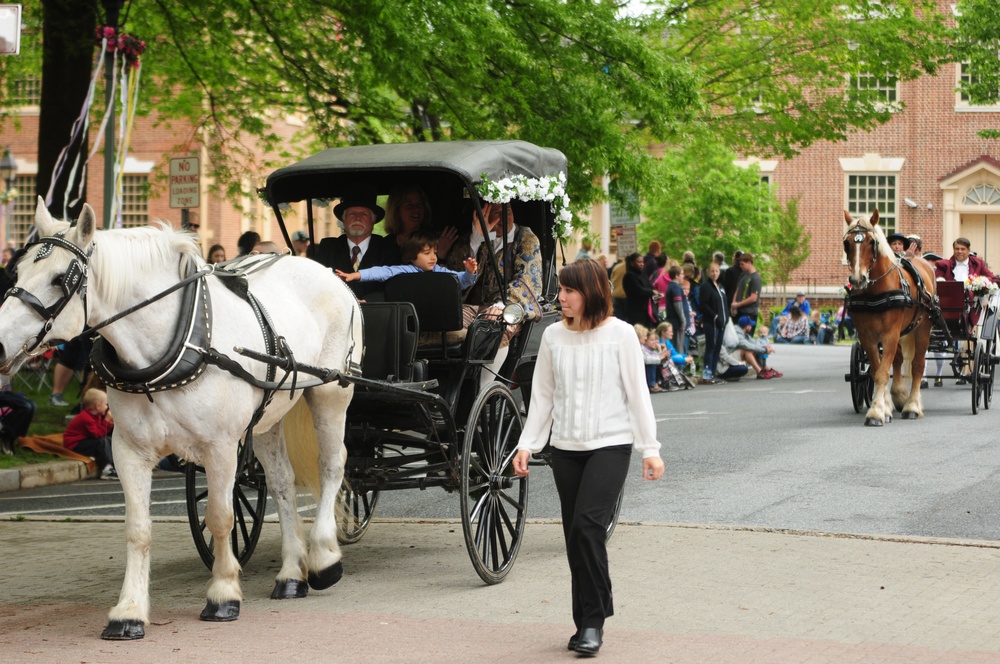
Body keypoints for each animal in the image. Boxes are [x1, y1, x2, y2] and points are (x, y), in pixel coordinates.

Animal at [0, 200, 364, 640]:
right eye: (17, 272)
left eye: (60, 279)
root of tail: (326, 272)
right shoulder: (129, 451)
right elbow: (137, 529)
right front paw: (129, 611)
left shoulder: (220, 447)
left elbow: (221, 518)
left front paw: (223, 593)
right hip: (269, 415)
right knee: (281, 483)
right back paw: (292, 573)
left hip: (331, 393)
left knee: (332, 466)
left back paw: (325, 557)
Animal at [844, 211, 936, 426]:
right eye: (847, 243)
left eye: (871, 242)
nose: (857, 280)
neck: (876, 291)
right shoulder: (867, 336)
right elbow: (878, 370)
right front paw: (884, 407)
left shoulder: (890, 334)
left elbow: (883, 372)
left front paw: (876, 412)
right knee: (899, 359)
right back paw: (899, 396)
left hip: (922, 329)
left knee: (918, 365)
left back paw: (912, 406)